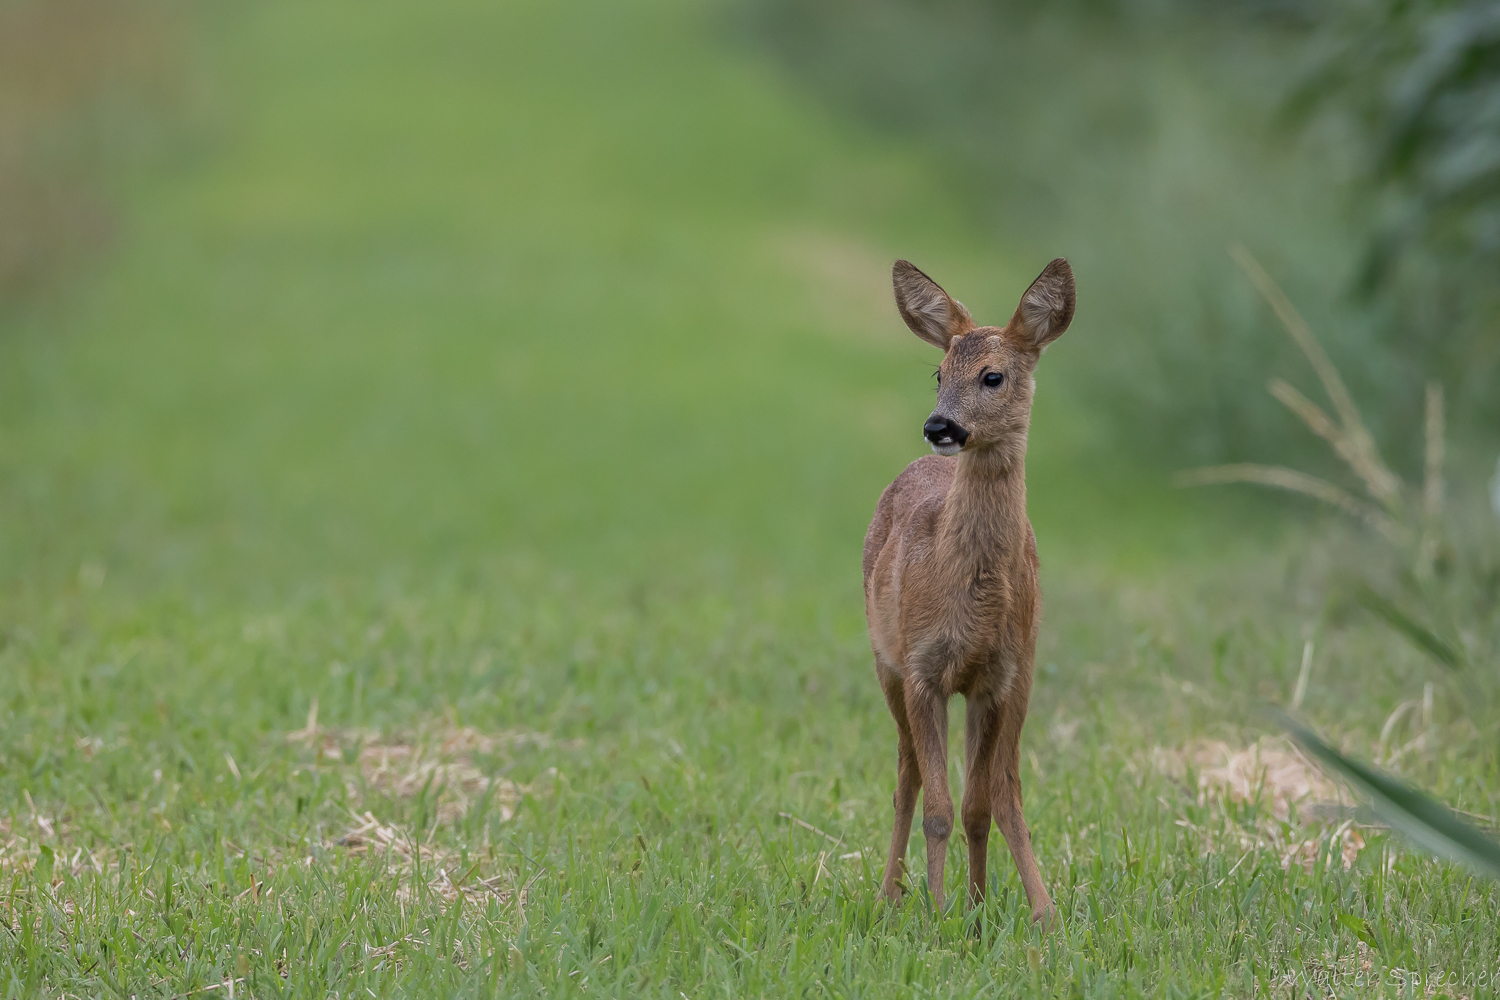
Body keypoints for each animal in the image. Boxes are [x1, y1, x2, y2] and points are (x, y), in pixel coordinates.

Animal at [864, 256, 1074, 923]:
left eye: (992, 376)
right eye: (938, 372)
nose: (940, 426)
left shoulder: (1001, 678)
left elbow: (985, 805)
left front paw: (997, 913)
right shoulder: (922, 668)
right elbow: (938, 808)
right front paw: (937, 914)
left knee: (997, 789)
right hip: (885, 662)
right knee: (906, 775)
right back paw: (890, 893)